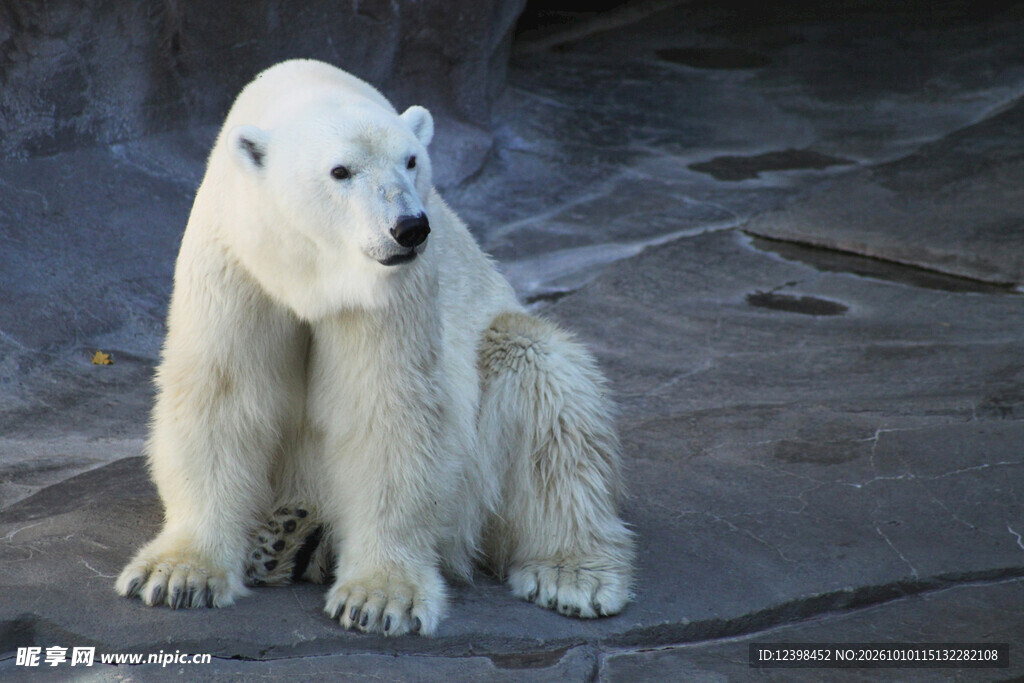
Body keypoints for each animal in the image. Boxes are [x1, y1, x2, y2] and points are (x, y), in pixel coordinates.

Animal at [115, 59, 635, 636]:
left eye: (411, 161)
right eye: (341, 171)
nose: (409, 228)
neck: (311, 274)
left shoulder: (390, 291)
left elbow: (386, 410)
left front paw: (380, 599)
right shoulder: (236, 261)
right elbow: (222, 394)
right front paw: (177, 575)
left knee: (546, 391)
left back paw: (572, 575)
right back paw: (285, 538)